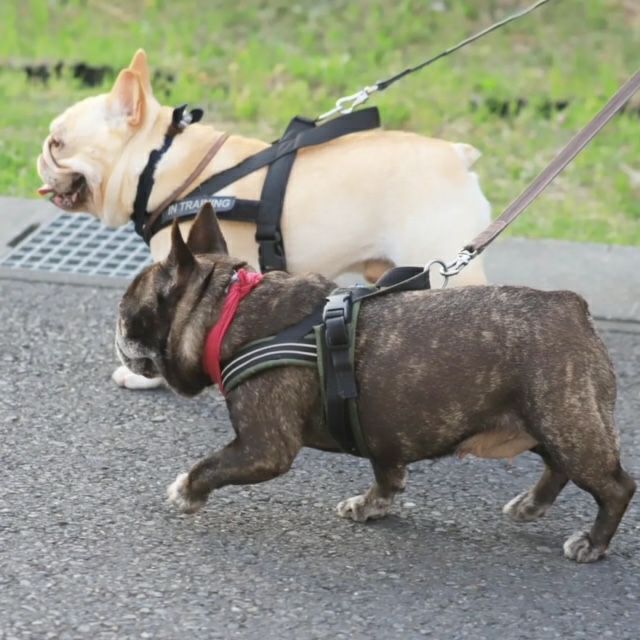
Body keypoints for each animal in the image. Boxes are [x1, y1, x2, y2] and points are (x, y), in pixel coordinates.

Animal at [115, 205, 635, 563]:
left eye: (127, 310)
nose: (115, 331)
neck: (228, 310)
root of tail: (571, 306)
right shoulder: (384, 433)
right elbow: (387, 474)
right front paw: (372, 505)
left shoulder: (264, 447)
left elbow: (212, 464)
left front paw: (186, 490)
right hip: (547, 421)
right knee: (558, 467)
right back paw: (531, 505)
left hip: (565, 421)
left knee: (615, 487)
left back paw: (592, 542)